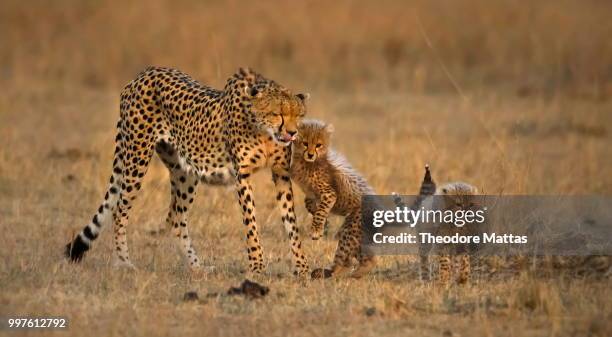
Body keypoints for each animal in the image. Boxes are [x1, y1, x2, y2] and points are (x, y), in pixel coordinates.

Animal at [65, 66, 310, 276]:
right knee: (119, 210)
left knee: (176, 218)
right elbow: (251, 224)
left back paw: (196, 267)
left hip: (185, 173)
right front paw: (257, 266)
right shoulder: (242, 177)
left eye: (299, 116)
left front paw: (302, 267)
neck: (265, 133)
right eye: (278, 113)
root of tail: (144, 73)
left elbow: (291, 222)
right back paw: (124, 262)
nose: (292, 133)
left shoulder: (281, 173)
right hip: (137, 157)